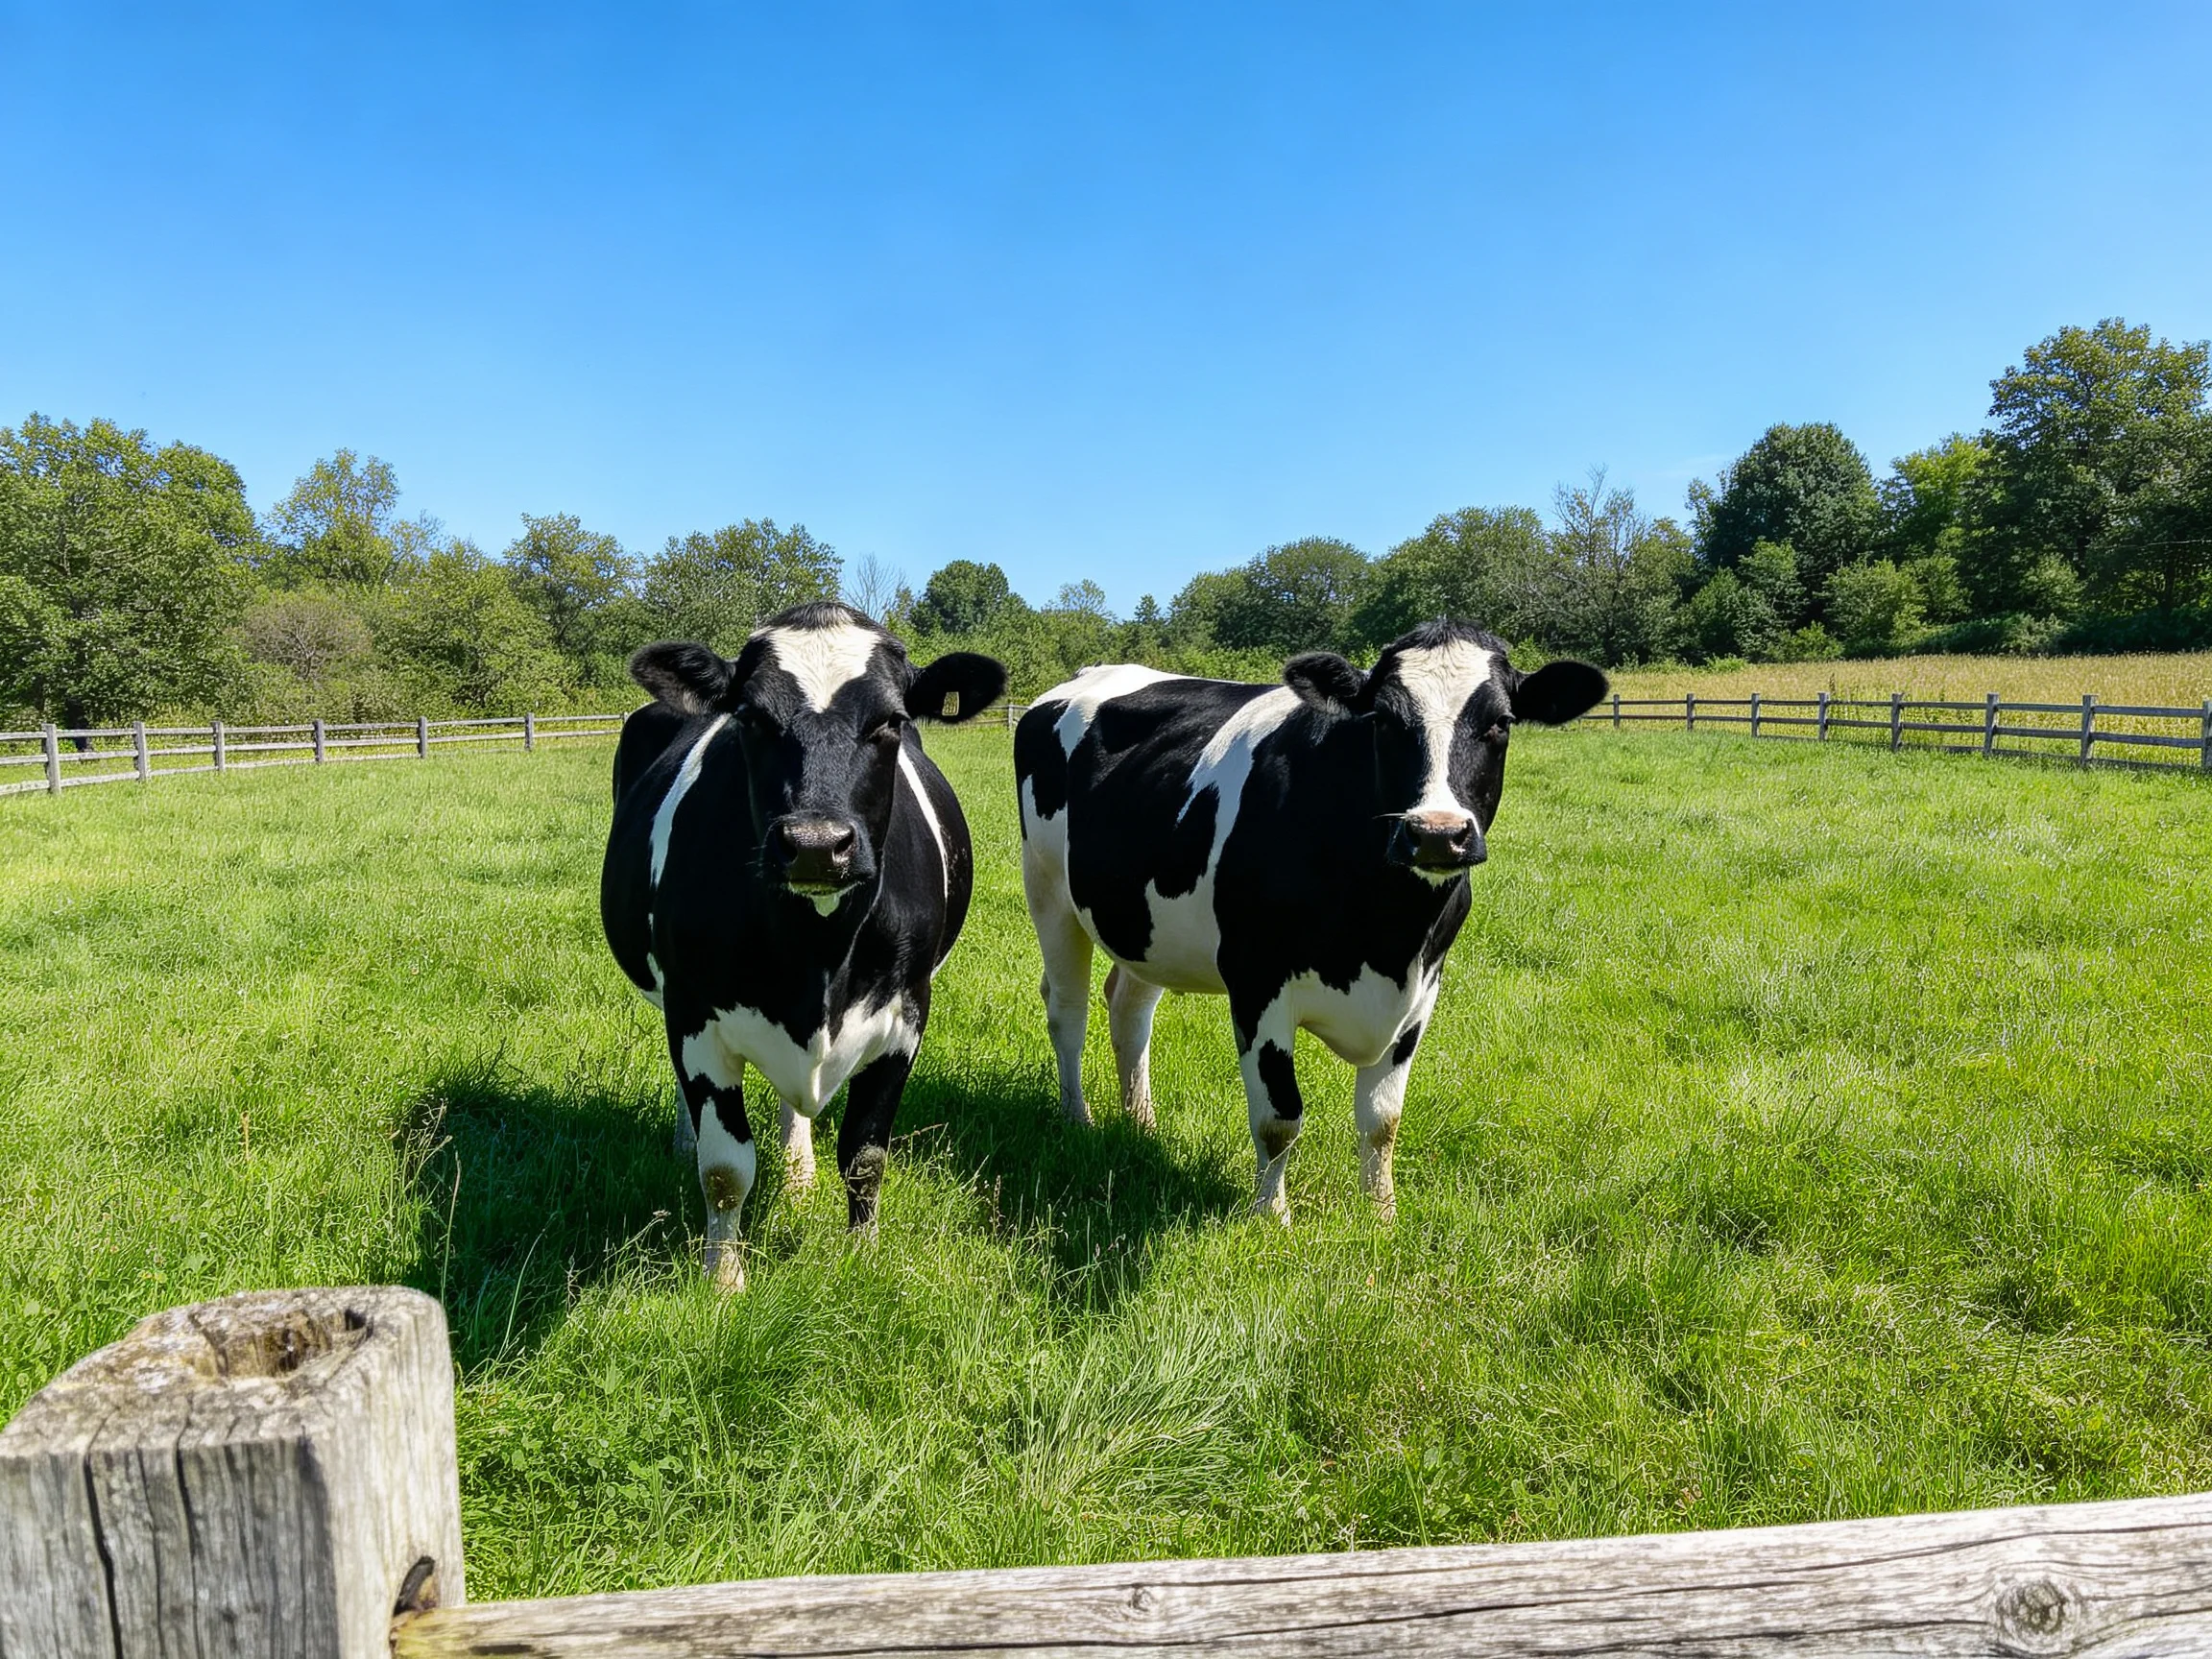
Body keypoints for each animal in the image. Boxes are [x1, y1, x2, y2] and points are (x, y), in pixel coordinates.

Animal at [602, 601, 1006, 1290]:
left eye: (891, 721)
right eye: (751, 718)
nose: (816, 844)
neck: (818, 954)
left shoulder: (906, 1012)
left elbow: (865, 1155)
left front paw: (862, 1261)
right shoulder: (694, 1011)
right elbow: (725, 1168)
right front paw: (723, 1283)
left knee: (800, 1111)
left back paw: (797, 1174)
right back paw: (686, 1142)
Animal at [1015, 621, 1605, 1221]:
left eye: (1501, 722)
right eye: (1383, 720)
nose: (1437, 833)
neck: (1387, 934)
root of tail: (1090, 674)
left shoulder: (1422, 989)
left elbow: (1382, 1120)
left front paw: (1382, 1215)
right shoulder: (1257, 982)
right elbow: (1280, 1118)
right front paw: (1272, 1218)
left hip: (1147, 926)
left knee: (1129, 1010)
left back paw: (1141, 1125)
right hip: (1048, 890)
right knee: (1068, 1010)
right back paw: (1078, 1119)